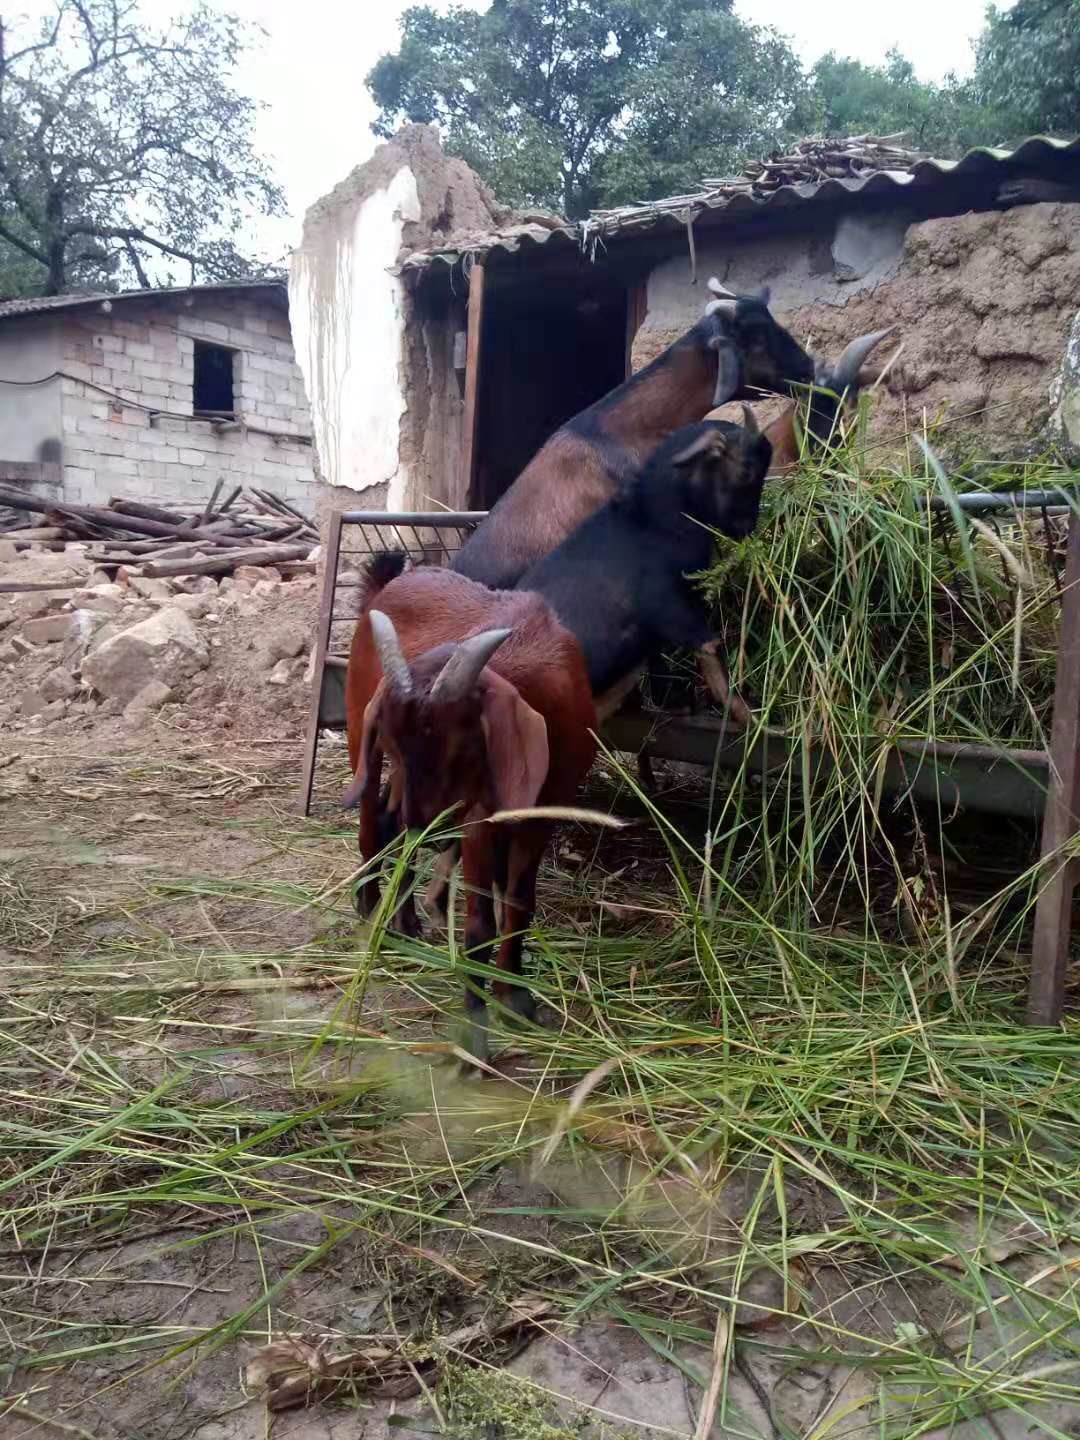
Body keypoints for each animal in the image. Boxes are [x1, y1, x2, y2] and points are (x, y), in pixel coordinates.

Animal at [344, 550, 596, 1059]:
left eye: (463, 748)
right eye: (394, 741)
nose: (432, 828)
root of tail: (386, 586)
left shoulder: (545, 808)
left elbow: (518, 904)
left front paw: (515, 996)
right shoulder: (477, 815)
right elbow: (479, 924)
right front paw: (475, 1033)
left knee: (391, 826)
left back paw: (406, 920)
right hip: (363, 737)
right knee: (373, 827)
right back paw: (372, 911)